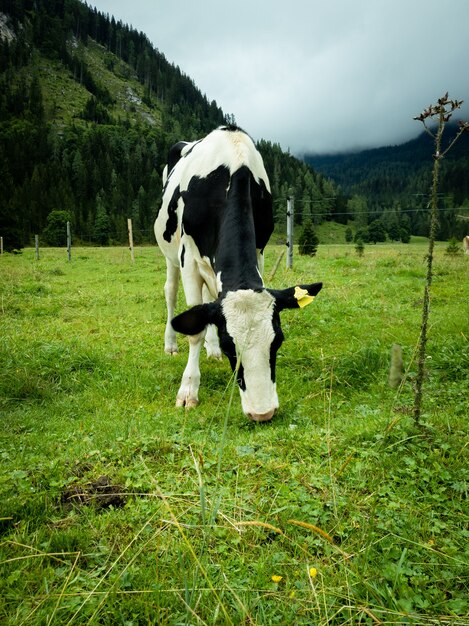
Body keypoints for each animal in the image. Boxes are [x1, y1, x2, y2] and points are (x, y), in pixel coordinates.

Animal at [154, 125, 322, 422]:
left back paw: (209, 351)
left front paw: (210, 349)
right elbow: (195, 327)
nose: (263, 413)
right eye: (230, 345)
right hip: (170, 254)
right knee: (171, 294)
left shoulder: (259, 250)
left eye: (278, 341)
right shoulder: (188, 257)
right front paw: (188, 390)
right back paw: (171, 344)